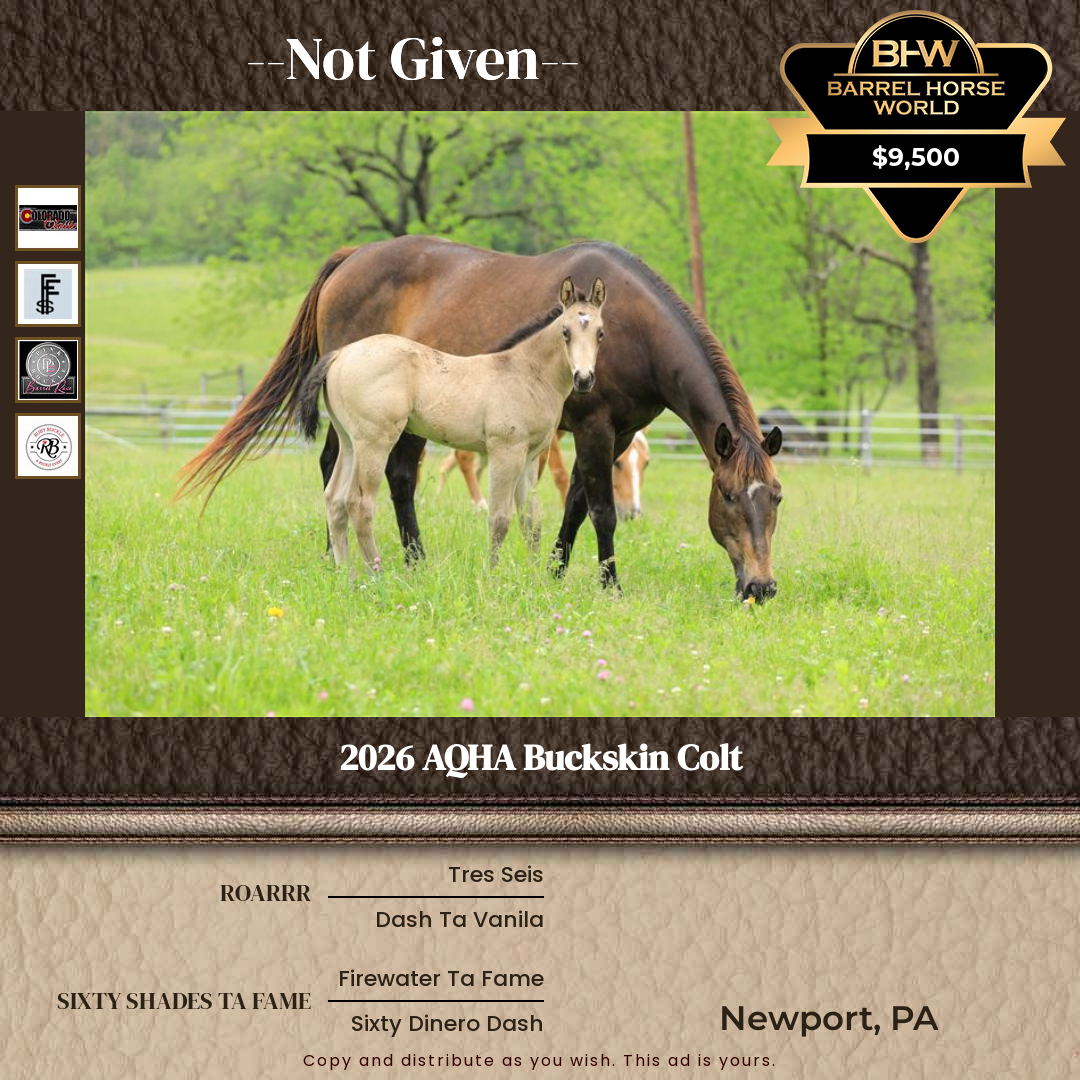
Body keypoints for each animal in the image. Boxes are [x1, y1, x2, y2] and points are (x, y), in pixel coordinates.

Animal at [295, 277, 606, 571]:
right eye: (565, 332)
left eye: (600, 333)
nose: (583, 379)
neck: (525, 372)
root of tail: (341, 354)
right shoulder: (505, 451)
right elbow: (499, 519)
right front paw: (492, 576)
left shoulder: (529, 457)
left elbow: (532, 522)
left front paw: (532, 579)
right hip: (374, 442)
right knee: (359, 503)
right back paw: (375, 573)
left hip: (349, 442)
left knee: (335, 500)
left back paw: (347, 575)